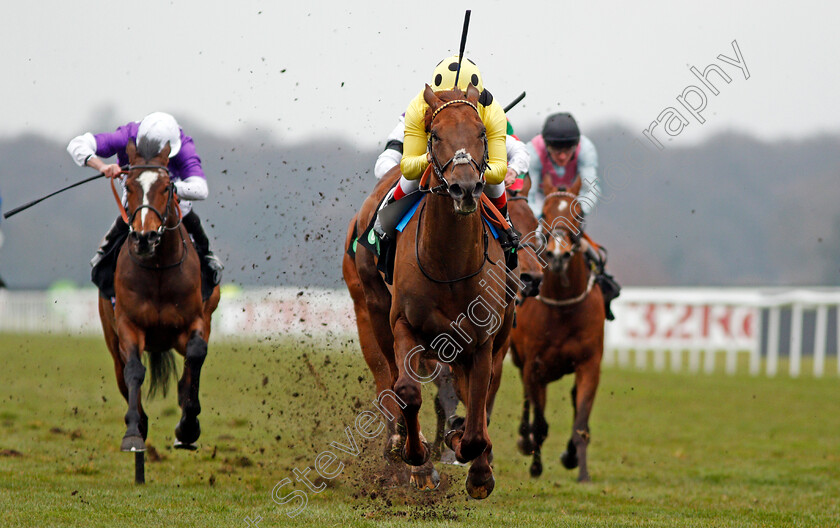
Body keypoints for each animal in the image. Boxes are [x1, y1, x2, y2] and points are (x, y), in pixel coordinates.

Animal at [98, 140, 221, 458]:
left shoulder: (195, 323)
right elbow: (133, 371)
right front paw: (133, 431)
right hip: (111, 337)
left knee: (188, 373)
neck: (158, 271)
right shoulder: (128, 326)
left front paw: (187, 428)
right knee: (122, 373)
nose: (145, 237)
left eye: (166, 187)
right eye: (128, 185)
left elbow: (195, 357)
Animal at [342, 83, 520, 500]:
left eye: (481, 133)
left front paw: (476, 467)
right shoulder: (405, 326)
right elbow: (407, 391)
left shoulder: (482, 338)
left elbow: (476, 413)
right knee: (388, 380)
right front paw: (418, 459)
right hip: (372, 313)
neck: (449, 263)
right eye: (435, 135)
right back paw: (400, 445)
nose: (465, 188)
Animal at [506, 177, 604, 482]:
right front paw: (535, 462)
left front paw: (579, 468)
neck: (563, 308)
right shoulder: (534, 365)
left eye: (579, 214)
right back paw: (524, 440)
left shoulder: (589, 363)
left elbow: (581, 421)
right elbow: (540, 422)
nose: (558, 255)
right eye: (545, 215)